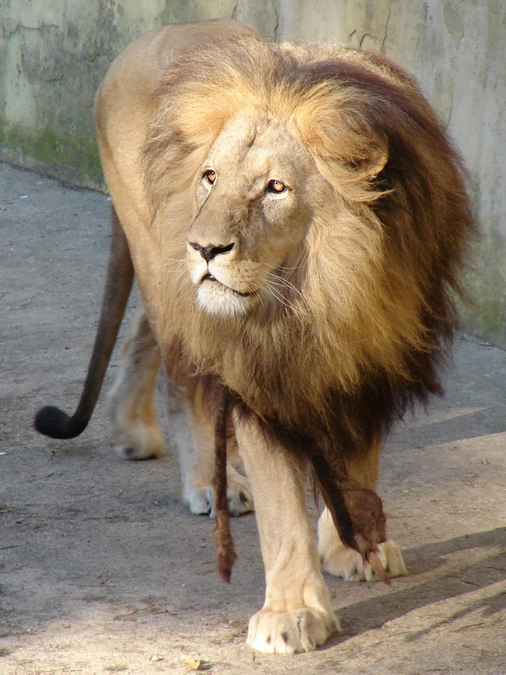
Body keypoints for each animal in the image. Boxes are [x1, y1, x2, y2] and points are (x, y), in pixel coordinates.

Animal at [34, 19, 475, 654]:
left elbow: (357, 459)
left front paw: (355, 547)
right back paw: (206, 480)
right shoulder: (257, 375)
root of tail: (144, 40)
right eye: (210, 177)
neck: (317, 293)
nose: (205, 248)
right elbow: (282, 511)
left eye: (275, 188)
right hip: (159, 263)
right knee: (181, 379)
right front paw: (292, 612)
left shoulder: (373, 348)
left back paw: (131, 427)